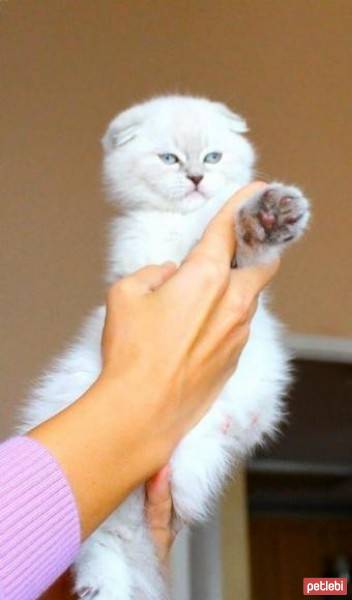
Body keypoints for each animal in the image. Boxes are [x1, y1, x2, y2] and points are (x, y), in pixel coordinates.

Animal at [16, 95, 310, 600]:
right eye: (170, 158)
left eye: (212, 156)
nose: (195, 178)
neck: (178, 217)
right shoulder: (154, 260)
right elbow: (207, 242)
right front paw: (257, 216)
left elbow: (237, 240)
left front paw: (269, 215)